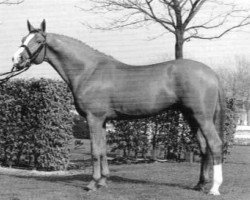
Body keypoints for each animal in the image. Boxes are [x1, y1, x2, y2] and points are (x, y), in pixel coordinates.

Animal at [11, 19, 225, 195]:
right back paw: (200, 184)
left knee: (215, 145)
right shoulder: (103, 121)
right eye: (23, 38)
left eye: (39, 41)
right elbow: (103, 150)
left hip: (202, 117)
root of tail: (212, 74)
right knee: (204, 147)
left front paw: (92, 184)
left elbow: (95, 151)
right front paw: (103, 181)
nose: (16, 59)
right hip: (191, 117)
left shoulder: (93, 118)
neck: (88, 71)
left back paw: (214, 188)